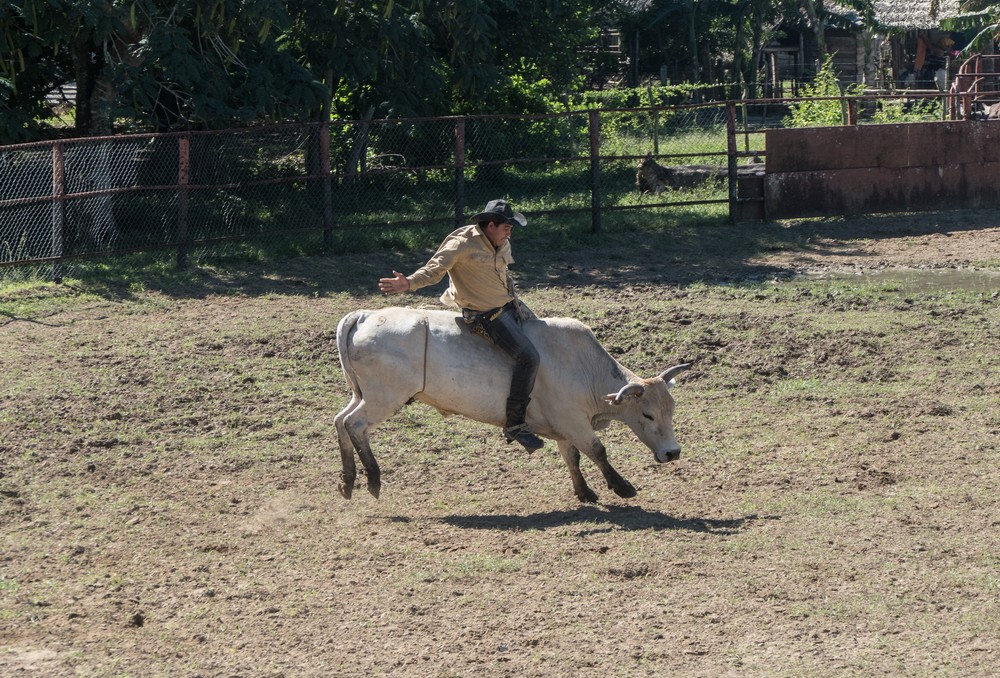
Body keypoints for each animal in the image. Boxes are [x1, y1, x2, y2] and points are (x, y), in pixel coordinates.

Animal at [334, 307, 691, 503]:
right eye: (647, 414)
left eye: (672, 410)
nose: (672, 453)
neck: (583, 368)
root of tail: (364, 316)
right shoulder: (574, 421)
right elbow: (597, 450)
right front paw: (622, 487)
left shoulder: (564, 427)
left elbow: (573, 457)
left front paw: (585, 493)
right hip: (383, 397)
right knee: (355, 425)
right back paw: (373, 479)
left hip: (363, 394)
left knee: (341, 420)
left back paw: (349, 481)